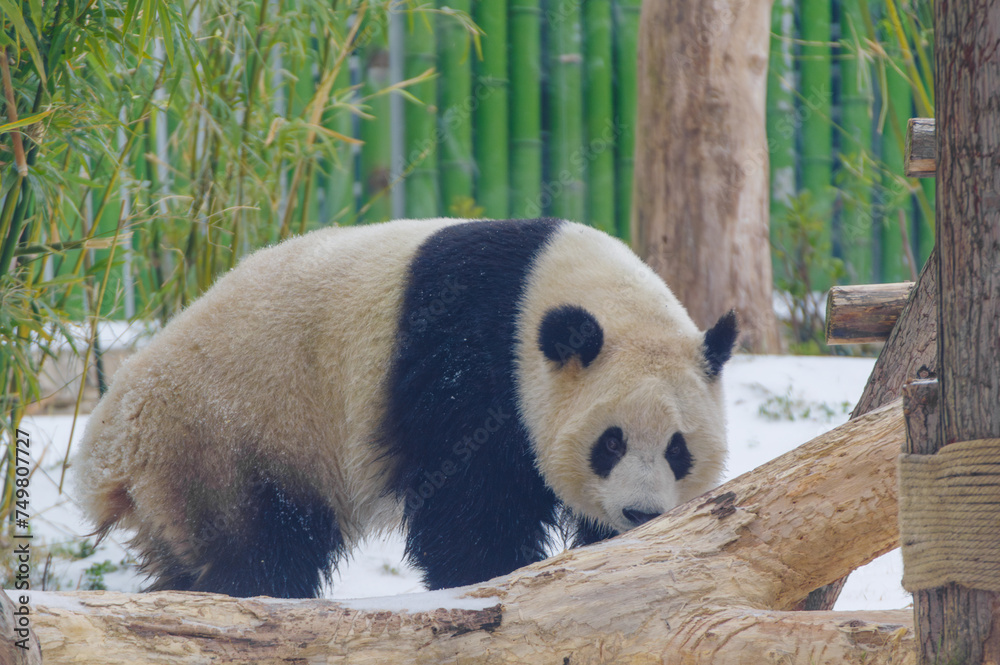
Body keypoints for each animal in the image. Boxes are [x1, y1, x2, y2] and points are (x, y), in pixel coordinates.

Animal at [74, 217, 738, 599]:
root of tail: (111, 442)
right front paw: (487, 579)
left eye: (678, 448)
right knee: (259, 543)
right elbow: (469, 503)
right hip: (226, 435)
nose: (641, 513)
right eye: (611, 441)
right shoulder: (471, 362)